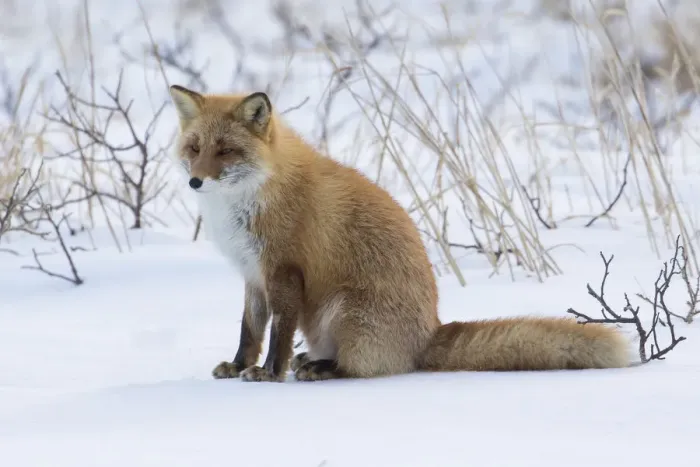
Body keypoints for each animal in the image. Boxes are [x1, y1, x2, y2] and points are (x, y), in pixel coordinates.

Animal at [168, 84, 630, 382]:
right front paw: (237, 366)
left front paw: (268, 373)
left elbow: (278, 334)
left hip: (342, 310)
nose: (195, 182)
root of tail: (429, 333)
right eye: (195, 148)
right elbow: (250, 330)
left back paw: (321, 368)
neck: (254, 197)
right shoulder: (252, 273)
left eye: (227, 151)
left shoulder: (284, 270)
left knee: (361, 368)